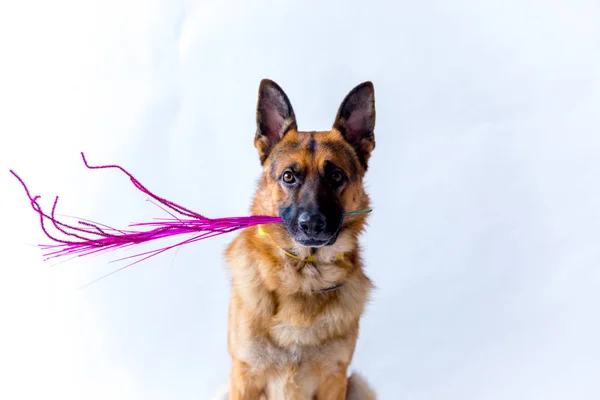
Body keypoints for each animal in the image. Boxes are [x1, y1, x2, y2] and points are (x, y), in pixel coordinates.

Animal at [223, 79, 378, 400]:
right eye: (289, 177)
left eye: (336, 176)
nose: (312, 225)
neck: (303, 277)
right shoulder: (244, 377)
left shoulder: (335, 379)